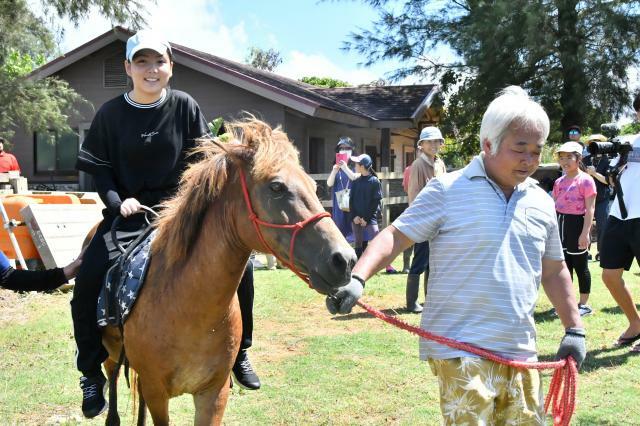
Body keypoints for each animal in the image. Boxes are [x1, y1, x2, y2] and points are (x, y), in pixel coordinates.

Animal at [102, 118, 358, 424]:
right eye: (276, 187)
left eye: (312, 185)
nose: (345, 259)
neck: (186, 307)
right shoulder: (156, 393)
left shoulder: (214, 393)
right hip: (110, 355)